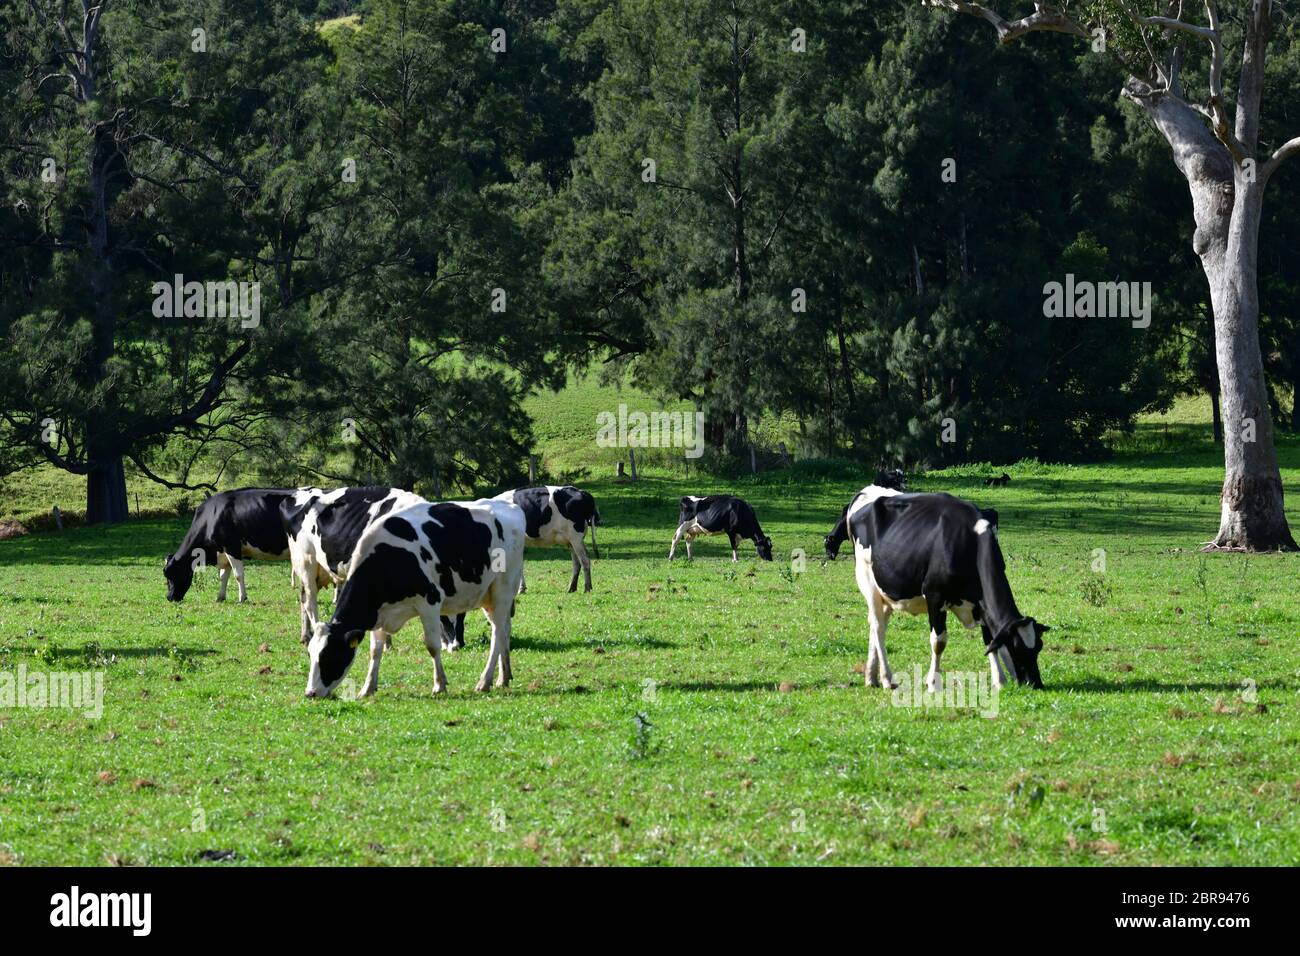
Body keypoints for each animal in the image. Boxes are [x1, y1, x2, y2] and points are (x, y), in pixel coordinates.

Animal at [164, 488, 298, 603]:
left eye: (172, 574)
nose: (170, 597)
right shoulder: (223, 552)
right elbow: (223, 576)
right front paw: (220, 597)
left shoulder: (232, 547)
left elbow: (238, 575)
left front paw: (242, 598)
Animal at [304, 498, 526, 698]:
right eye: (310, 654)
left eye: (330, 655)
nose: (310, 693)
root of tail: (511, 507)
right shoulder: (378, 613)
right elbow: (375, 650)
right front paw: (367, 688)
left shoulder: (430, 601)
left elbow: (433, 646)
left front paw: (439, 685)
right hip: (488, 597)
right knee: (504, 630)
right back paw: (504, 677)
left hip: (503, 589)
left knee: (497, 633)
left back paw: (485, 681)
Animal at [845, 485, 1047, 693]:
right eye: (1017, 648)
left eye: (1039, 646)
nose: (1035, 683)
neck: (968, 543)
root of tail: (866, 492)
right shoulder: (935, 596)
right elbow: (938, 642)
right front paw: (933, 682)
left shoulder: (980, 604)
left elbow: (990, 639)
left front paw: (1000, 680)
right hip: (866, 580)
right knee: (878, 627)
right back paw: (887, 678)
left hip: (885, 590)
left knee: (877, 623)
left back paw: (871, 677)